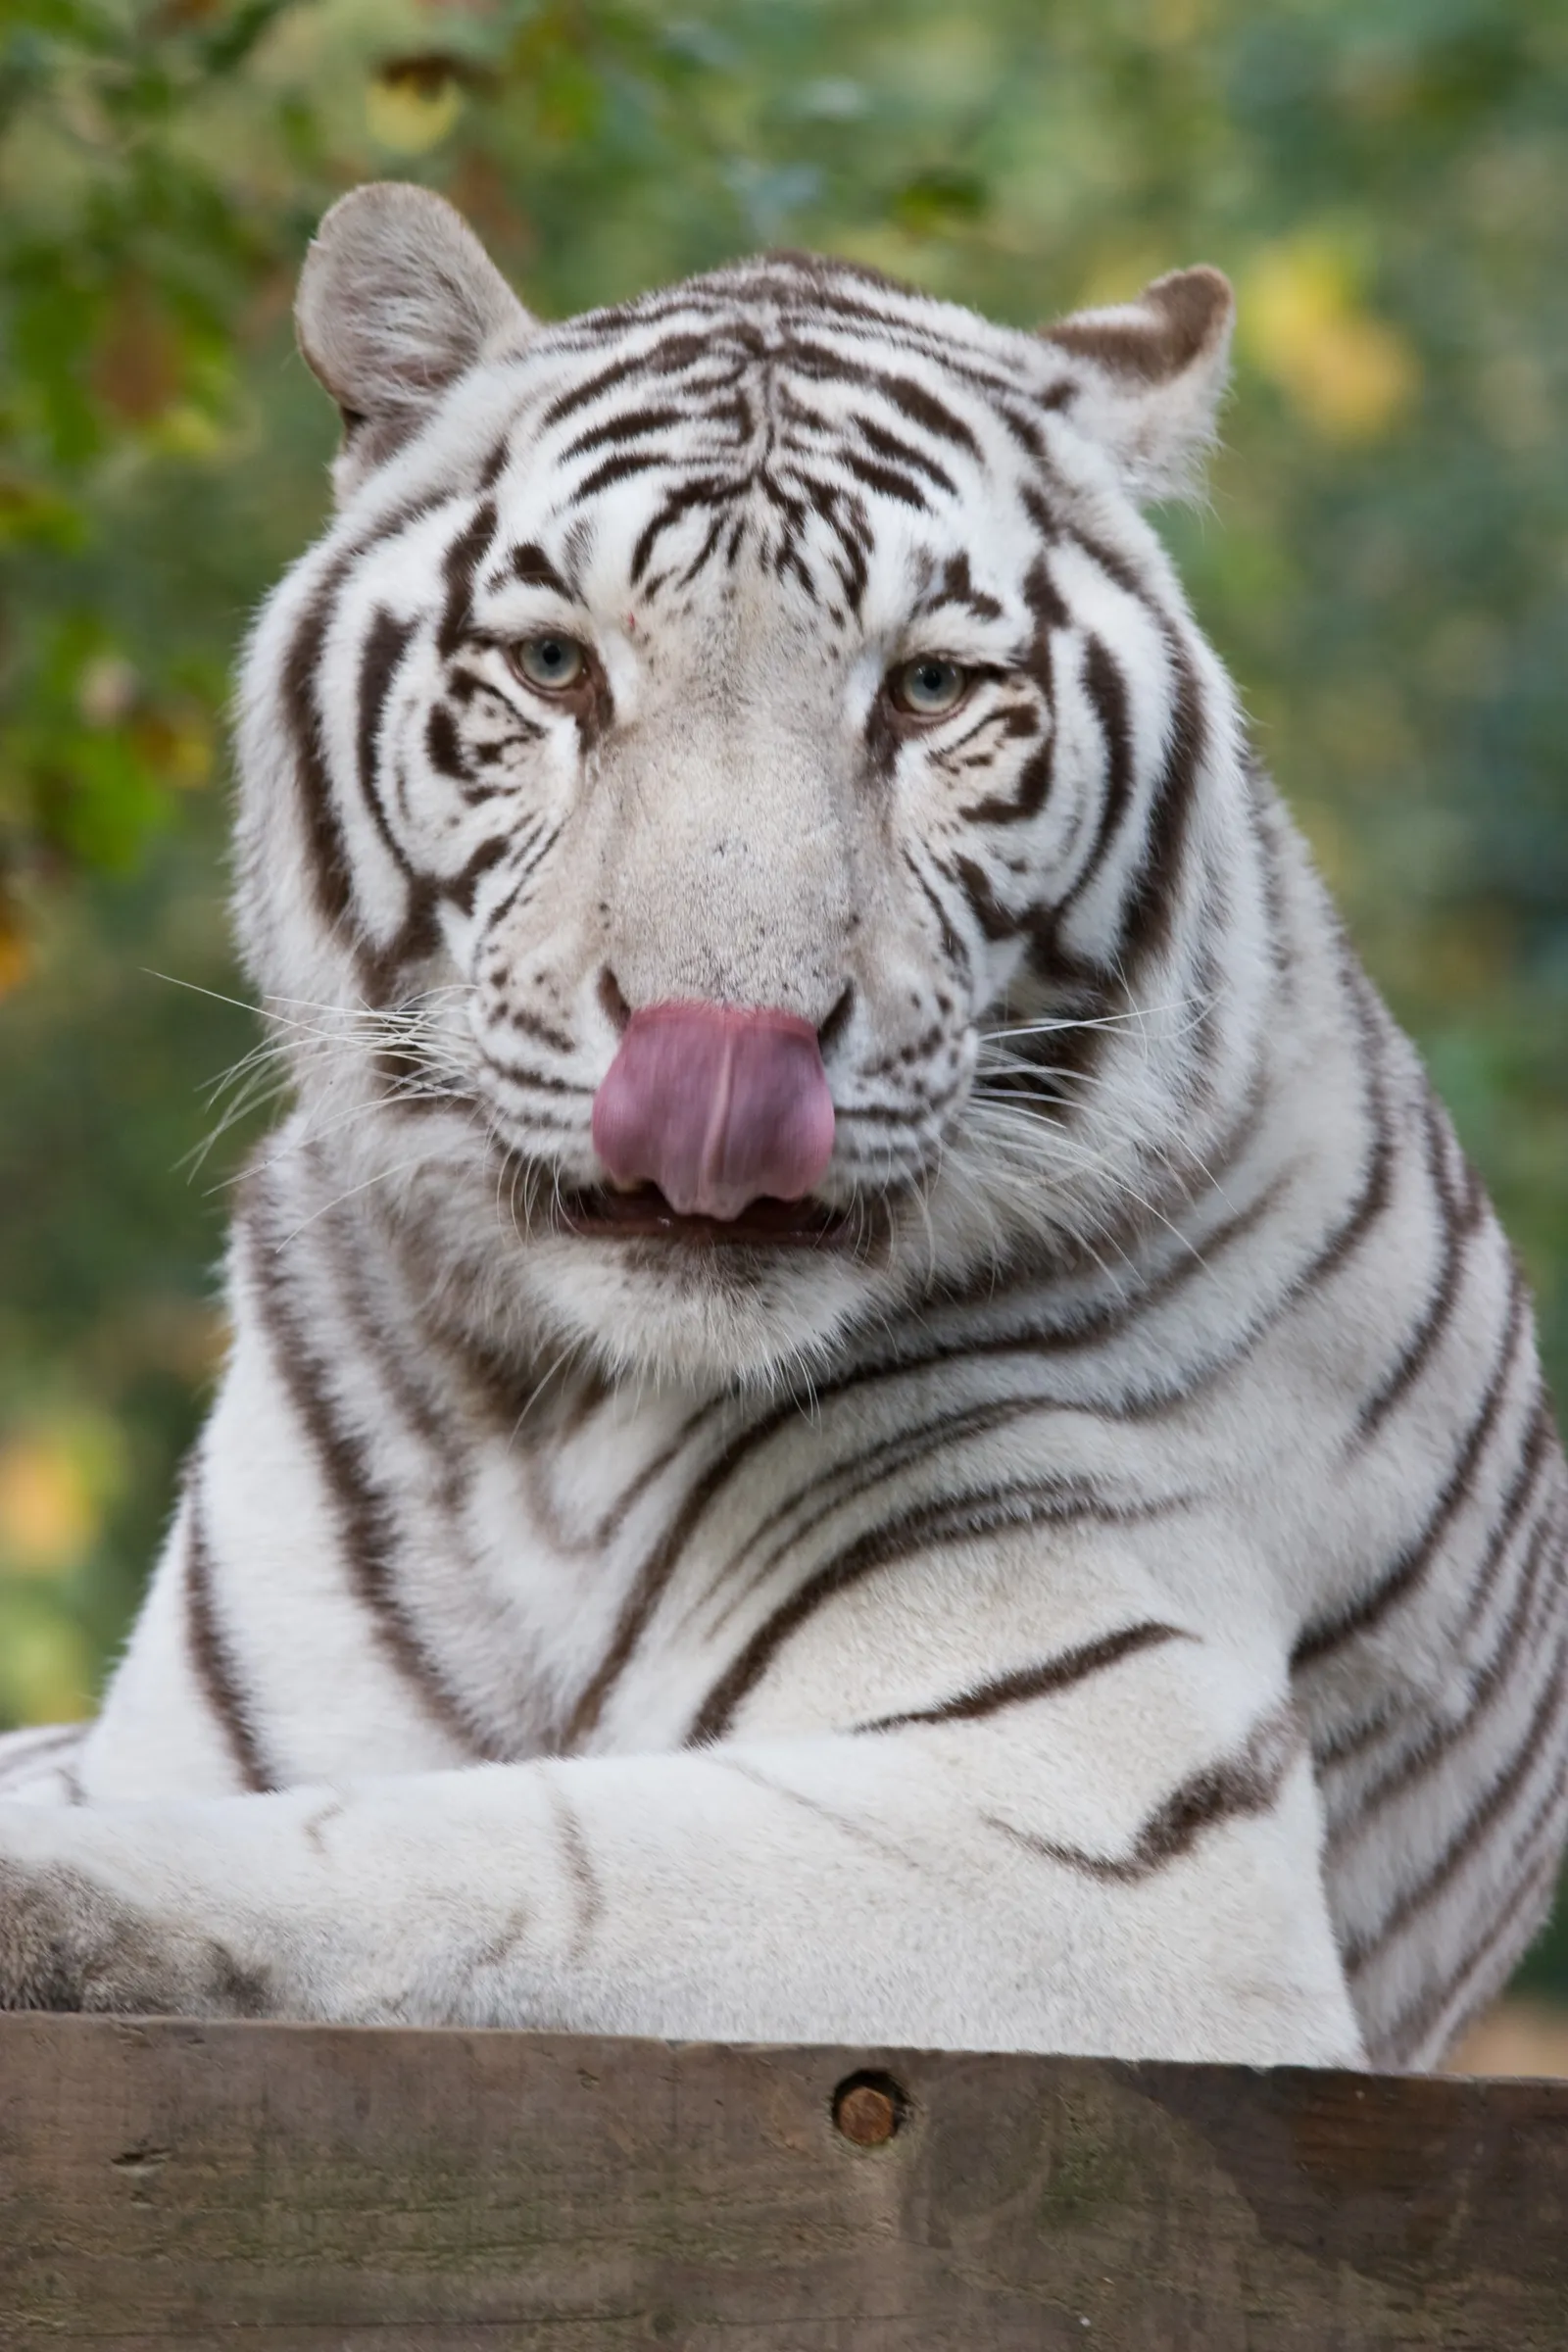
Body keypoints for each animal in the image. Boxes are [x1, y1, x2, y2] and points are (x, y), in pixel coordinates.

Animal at [0, 182, 1562, 2073]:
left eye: (931, 693)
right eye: (554, 667)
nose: (722, 1061)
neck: (543, 1428)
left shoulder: (1098, 1843)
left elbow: (490, 1845)